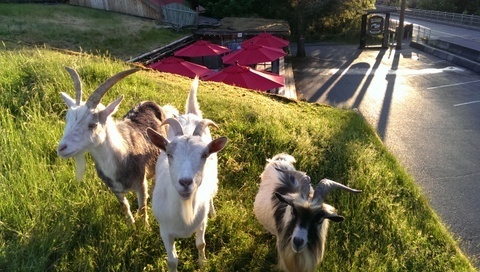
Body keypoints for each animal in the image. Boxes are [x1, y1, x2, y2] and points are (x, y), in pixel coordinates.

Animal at [56, 67, 172, 224]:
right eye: (67, 118)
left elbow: (142, 208)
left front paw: (144, 227)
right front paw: (131, 224)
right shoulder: (115, 189)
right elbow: (125, 206)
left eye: (93, 124)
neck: (122, 154)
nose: (61, 148)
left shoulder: (141, 184)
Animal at [146, 76, 229, 272]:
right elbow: (172, 260)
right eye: (169, 153)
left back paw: (212, 210)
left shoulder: (201, 223)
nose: (185, 182)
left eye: (204, 154)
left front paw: (202, 263)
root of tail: (190, 114)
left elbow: (201, 244)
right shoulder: (164, 230)